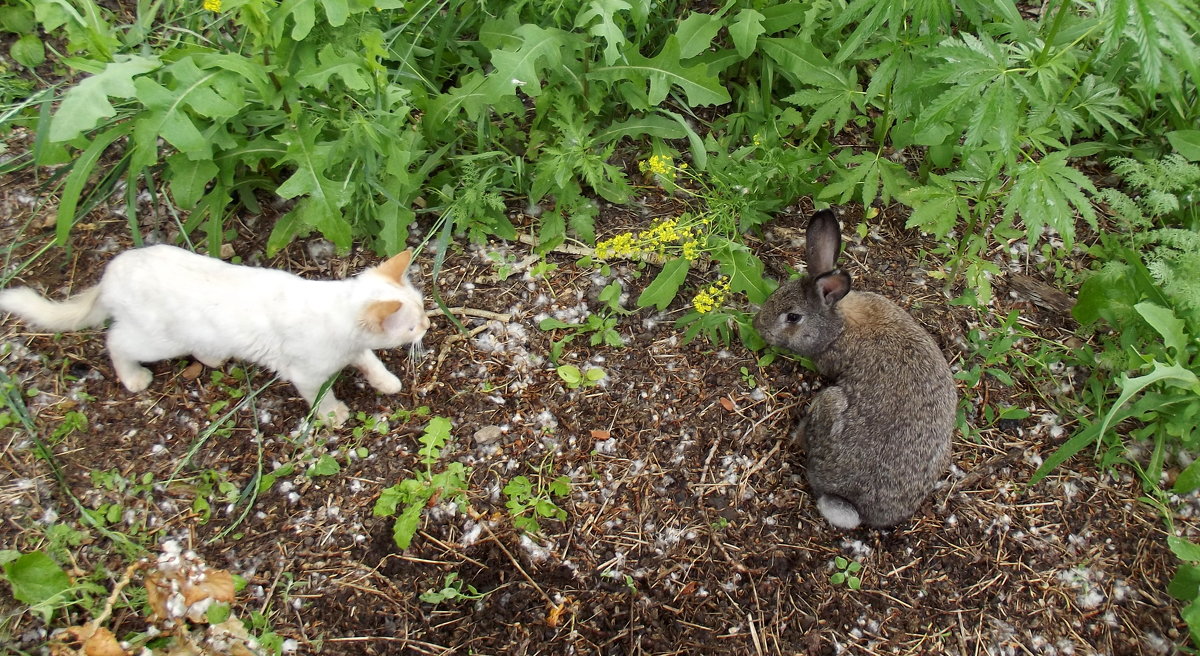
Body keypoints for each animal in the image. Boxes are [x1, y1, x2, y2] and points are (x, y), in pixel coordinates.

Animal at [0, 247, 432, 426]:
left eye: (425, 307)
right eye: (412, 326)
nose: (429, 325)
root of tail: (109, 273)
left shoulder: (353, 349)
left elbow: (369, 360)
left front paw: (386, 382)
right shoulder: (305, 373)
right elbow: (320, 394)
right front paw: (333, 414)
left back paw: (211, 356)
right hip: (157, 339)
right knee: (116, 342)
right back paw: (133, 376)